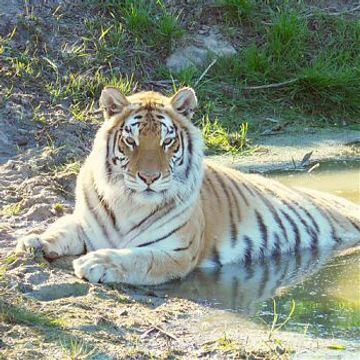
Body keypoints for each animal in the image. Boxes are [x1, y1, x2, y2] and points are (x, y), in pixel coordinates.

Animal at [14, 86, 360, 284]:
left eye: (167, 141)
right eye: (131, 141)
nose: (149, 178)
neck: (128, 202)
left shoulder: (175, 251)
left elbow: (136, 258)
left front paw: (97, 262)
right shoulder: (84, 222)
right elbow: (59, 227)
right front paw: (33, 242)